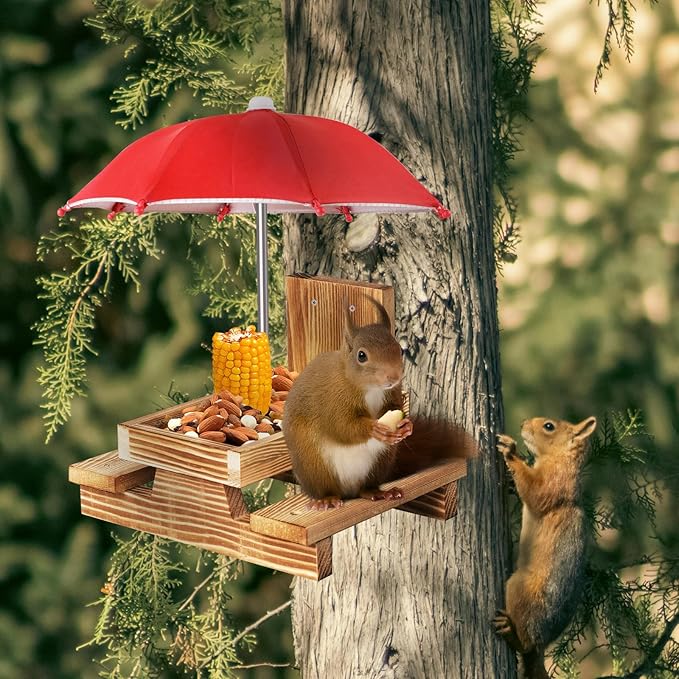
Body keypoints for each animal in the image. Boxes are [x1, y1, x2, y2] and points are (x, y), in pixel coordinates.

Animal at [284, 297, 473, 510]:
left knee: (366, 488)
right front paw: (373, 428)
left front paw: (407, 426)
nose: (393, 376)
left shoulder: (393, 393)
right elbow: (341, 426)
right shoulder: (332, 399)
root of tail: (348, 491)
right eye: (361, 355)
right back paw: (326, 499)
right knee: (324, 486)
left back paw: (378, 492)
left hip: (381, 460)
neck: (371, 389)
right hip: (313, 464)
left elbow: (395, 408)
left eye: (399, 349)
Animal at [494, 416, 597, 679]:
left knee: (526, 644)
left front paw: (511, 451)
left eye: (549, 426)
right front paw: (510, 481)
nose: (522, 424)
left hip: (520, 589)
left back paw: (511, 632)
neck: (559, 460)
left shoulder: (554, 484)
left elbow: (534, 492)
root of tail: (542, 644)